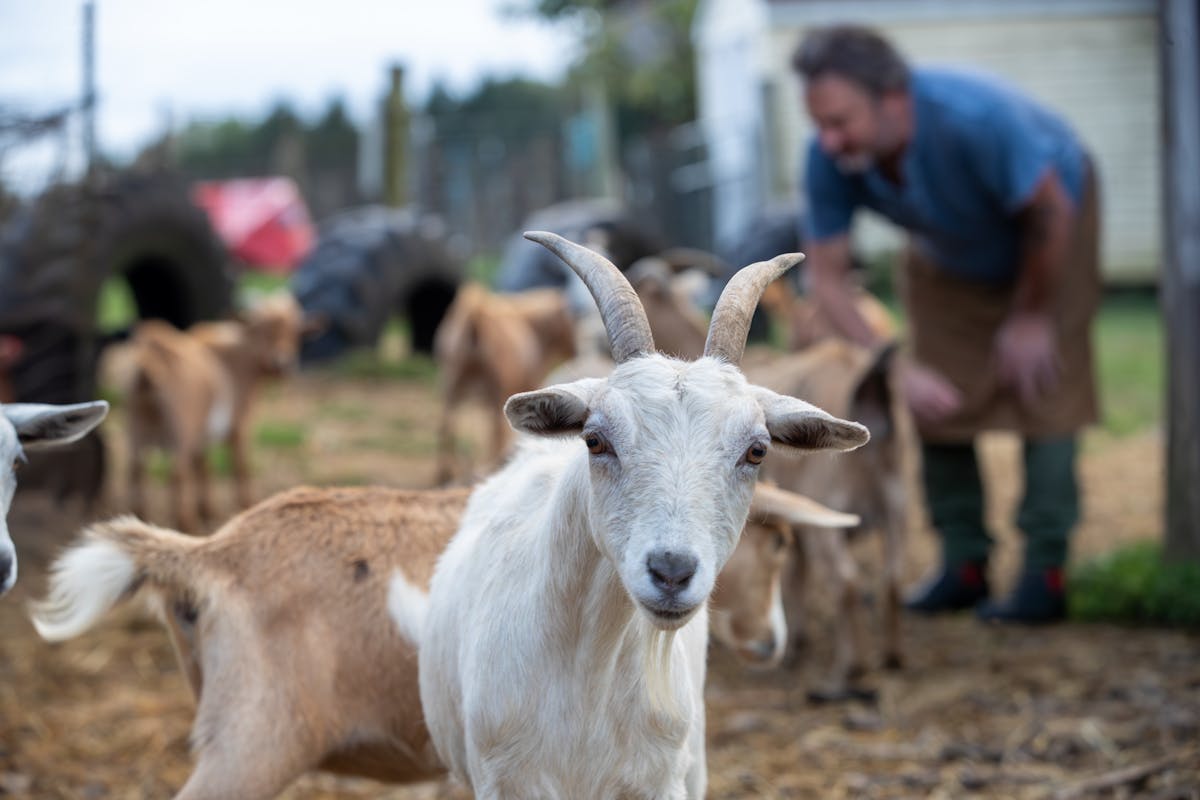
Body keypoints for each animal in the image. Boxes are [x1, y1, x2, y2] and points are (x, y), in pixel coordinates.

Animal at [125, 292, 316, 532]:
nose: (281, 363)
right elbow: (240, 465)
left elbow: (204, 466)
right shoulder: (238, 426)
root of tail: (150, 363)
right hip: (179, 430)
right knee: (177, 473)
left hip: (137, 428)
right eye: (262, 330)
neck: (238, 355)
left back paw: (140, 517)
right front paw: (246, 505)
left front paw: (208, 510)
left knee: (136, 470)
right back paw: (186, 523)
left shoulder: (201, 436)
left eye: (294, 333)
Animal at [433, 283, 576, 484]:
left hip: (451, 380)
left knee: (447, 424)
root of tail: (476, 315)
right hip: (495, 389)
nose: (575, 350)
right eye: (571, 319)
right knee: (494, 431)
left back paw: (445, 474)